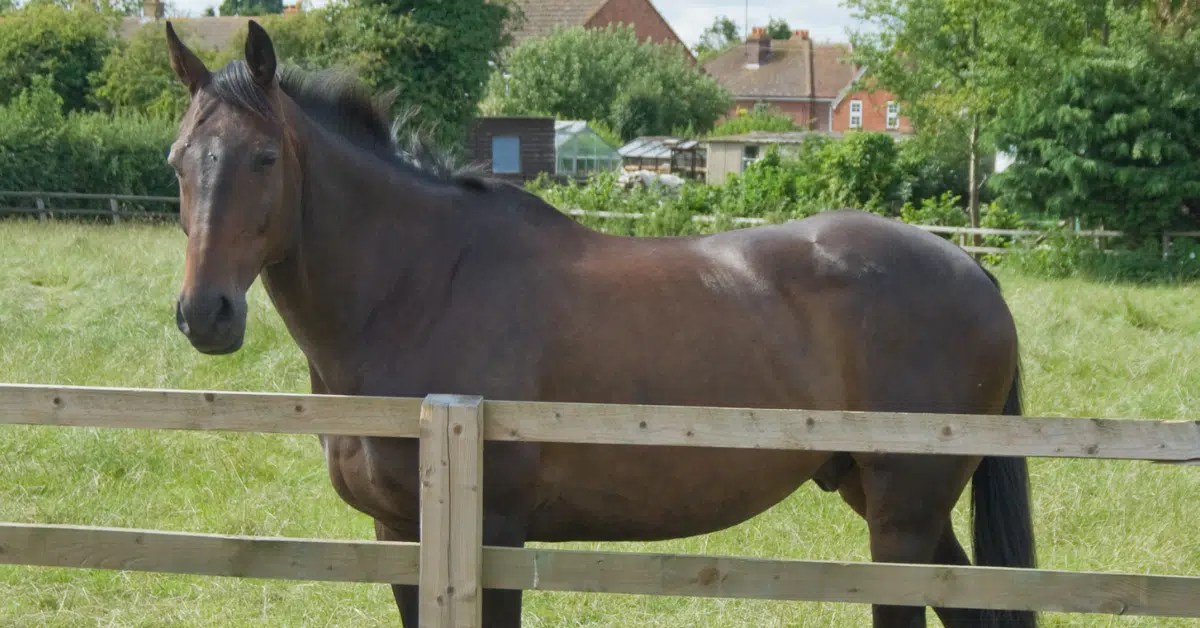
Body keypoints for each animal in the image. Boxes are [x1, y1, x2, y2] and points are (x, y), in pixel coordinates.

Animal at [164, 21, 1035, 627]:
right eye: (179, 160)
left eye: (265, 158)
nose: (207, 314)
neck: (420, 287)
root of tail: (971, 268)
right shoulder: (396, 534)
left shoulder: (495, 535)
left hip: (902, 515)